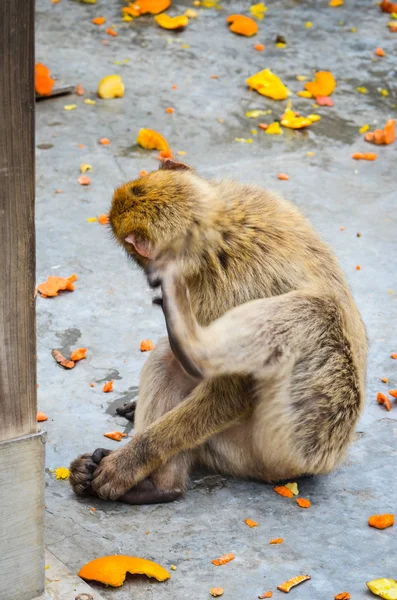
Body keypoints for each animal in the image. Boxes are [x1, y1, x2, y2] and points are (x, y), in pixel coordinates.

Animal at [69, 158, 368, 502]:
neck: (219, 226)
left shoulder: (219, 291)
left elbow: (230, 393)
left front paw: (133, 459)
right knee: (167, 359)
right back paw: (161, 484)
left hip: (287, 446)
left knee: (317, 312)